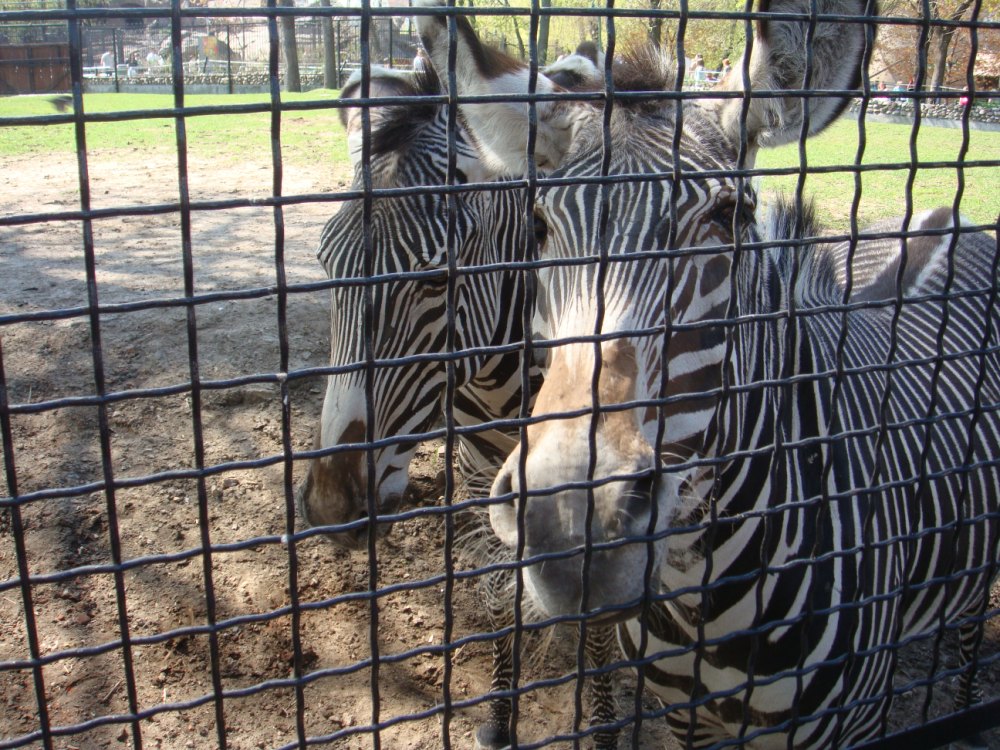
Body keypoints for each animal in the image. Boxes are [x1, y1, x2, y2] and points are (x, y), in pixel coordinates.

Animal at [292, 60, 624, 750]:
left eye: (434, 279)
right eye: (324, 263)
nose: (330, 509)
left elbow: (599, 615)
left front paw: (605, 726)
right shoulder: (475, 478)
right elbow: (497, 592)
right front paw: (498, 718)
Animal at [416, 0, 1000, 748]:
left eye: (730, 215)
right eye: (540, 227)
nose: (572, 522)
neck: (704, 604)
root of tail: (954, 216)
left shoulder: (851, 721)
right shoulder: (682, 716)